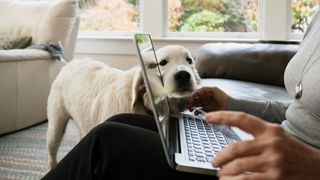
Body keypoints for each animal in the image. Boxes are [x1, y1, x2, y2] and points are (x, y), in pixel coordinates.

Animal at [46, 45, 201, 169]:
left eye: (189, 60)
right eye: (162, 63)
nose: (183, 75)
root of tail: (71, 63)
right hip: (55, 127)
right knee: (52, 154)